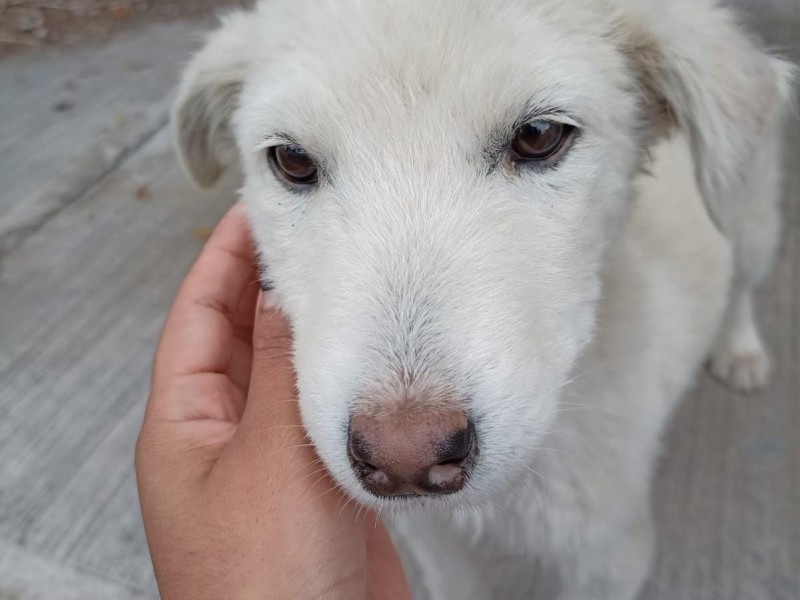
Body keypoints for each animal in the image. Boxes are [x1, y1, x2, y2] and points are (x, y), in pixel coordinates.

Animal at [172, 2, 792, 596]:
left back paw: (740, 349)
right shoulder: (439, 545)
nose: (404, 458)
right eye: (292, 160)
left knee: (742, 282)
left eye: (539, 134)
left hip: (750, 214)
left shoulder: (610, 554)